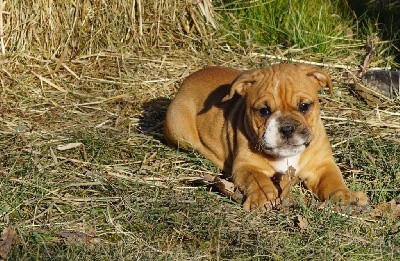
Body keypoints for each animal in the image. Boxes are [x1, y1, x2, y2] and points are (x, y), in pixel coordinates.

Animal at [163, 64, 368, 210]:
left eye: (304, 106)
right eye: (263, 111)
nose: (287, 128)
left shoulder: (322, 165)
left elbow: (332, 180)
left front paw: (343, 195)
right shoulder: (246, 166)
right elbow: (257, 179)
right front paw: (263, 196)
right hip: (180, 132)